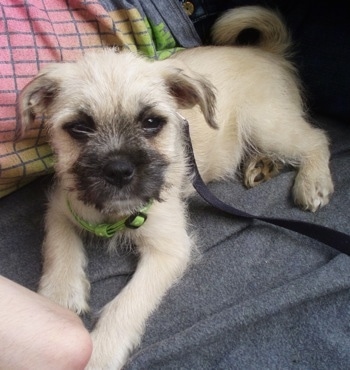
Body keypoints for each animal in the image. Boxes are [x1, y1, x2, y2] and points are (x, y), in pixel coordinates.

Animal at [17, 5, 334, 370]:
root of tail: (266, 53)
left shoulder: (168, 249)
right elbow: (58, 243)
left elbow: (127, 304)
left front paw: (101, 352)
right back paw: (262, 166)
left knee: (316, 138)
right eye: (79, 127)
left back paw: (313, 182)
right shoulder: (61, 202)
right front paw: (59, 294)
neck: (112, 214)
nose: (119, 170)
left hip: (267, 125)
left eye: (152, 122)